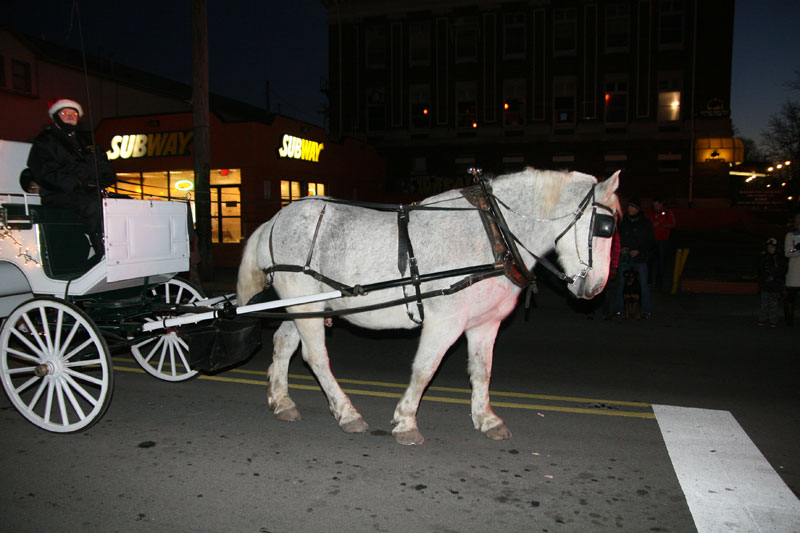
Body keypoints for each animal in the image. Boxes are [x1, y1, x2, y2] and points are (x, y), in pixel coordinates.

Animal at [234, 167, 620, 444]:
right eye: (605, 227)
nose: (596, 287)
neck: (493, 233)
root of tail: (275, 220)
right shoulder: (445, 321)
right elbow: (424, 369)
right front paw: (406, 422)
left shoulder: (484, 323)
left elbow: (482, 371)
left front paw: (487, 418)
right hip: (304, 302)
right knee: (315, 356)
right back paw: (347, 413)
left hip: (307, 304)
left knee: (283, 344)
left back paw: (282, 401)